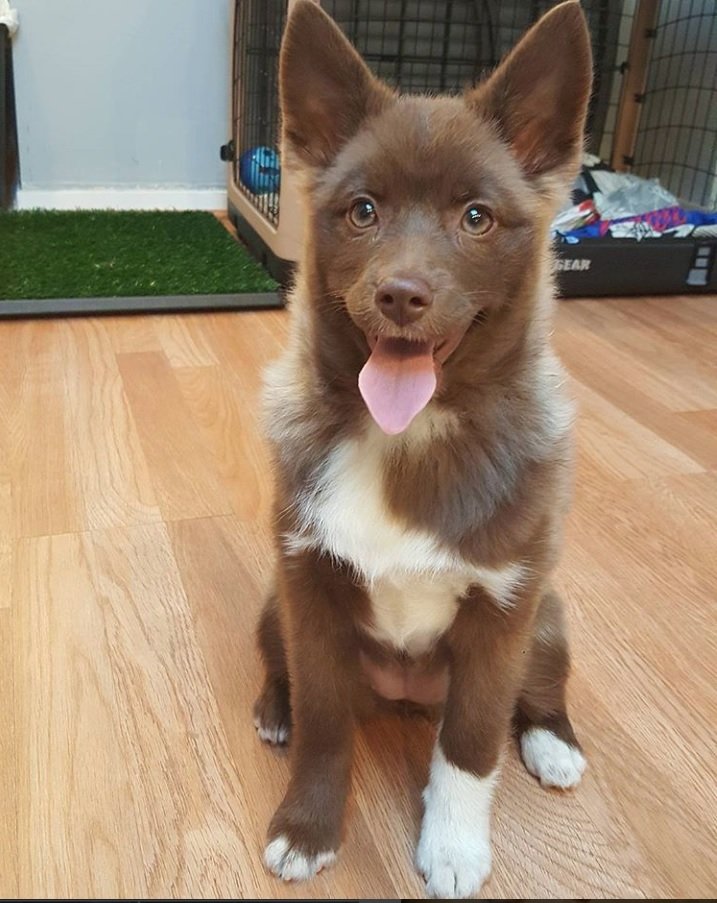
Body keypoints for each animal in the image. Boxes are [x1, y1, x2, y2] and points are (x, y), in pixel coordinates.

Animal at [255, 3, 592, 896]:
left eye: (475, 217)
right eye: (361, 210)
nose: (400, 295)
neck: (405, 435)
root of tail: (407, 695)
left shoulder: (504, 615)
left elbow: (470, 745)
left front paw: (453, 846)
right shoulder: (309, 588)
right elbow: (325, 722)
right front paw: (306, 826)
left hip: (548, 622)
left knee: (531, 699)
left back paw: (553, 742)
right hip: (274, 605)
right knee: (284, 672)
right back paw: (273, 708)